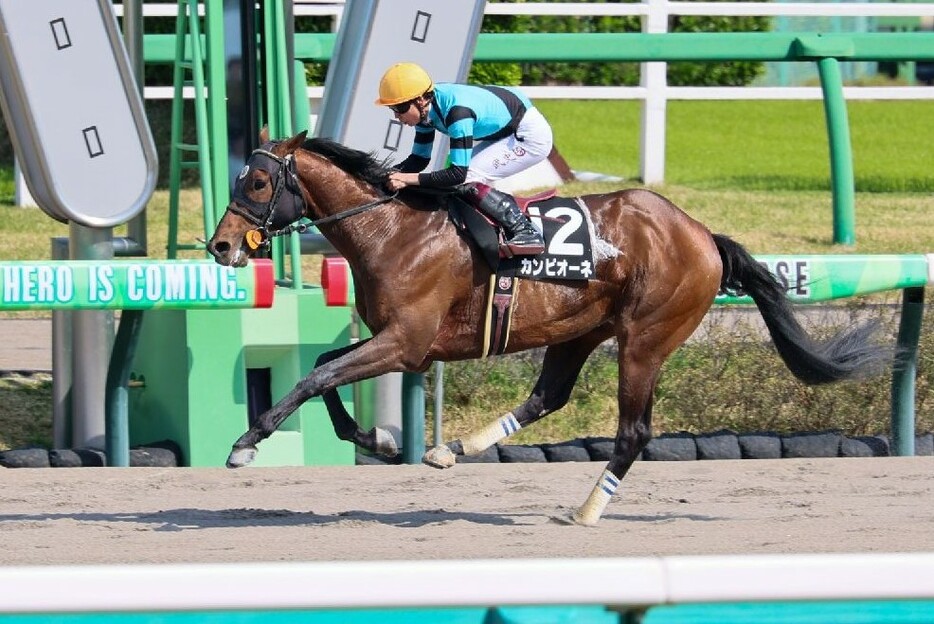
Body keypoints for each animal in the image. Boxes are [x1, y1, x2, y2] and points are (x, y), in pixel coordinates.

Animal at [208, 129, 888, 524]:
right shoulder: (401, 345)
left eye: (259, 180)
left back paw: (586, 512)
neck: (392, 230)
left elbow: (313, 380)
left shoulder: (406, 344)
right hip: (578, 329)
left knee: (633, 432)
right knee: (549, 395)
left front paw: (247, 442)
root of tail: (701, 234)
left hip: (645, 339)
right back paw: (455, 449)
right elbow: (322, 371)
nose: (219, 246)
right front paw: (374, 437)